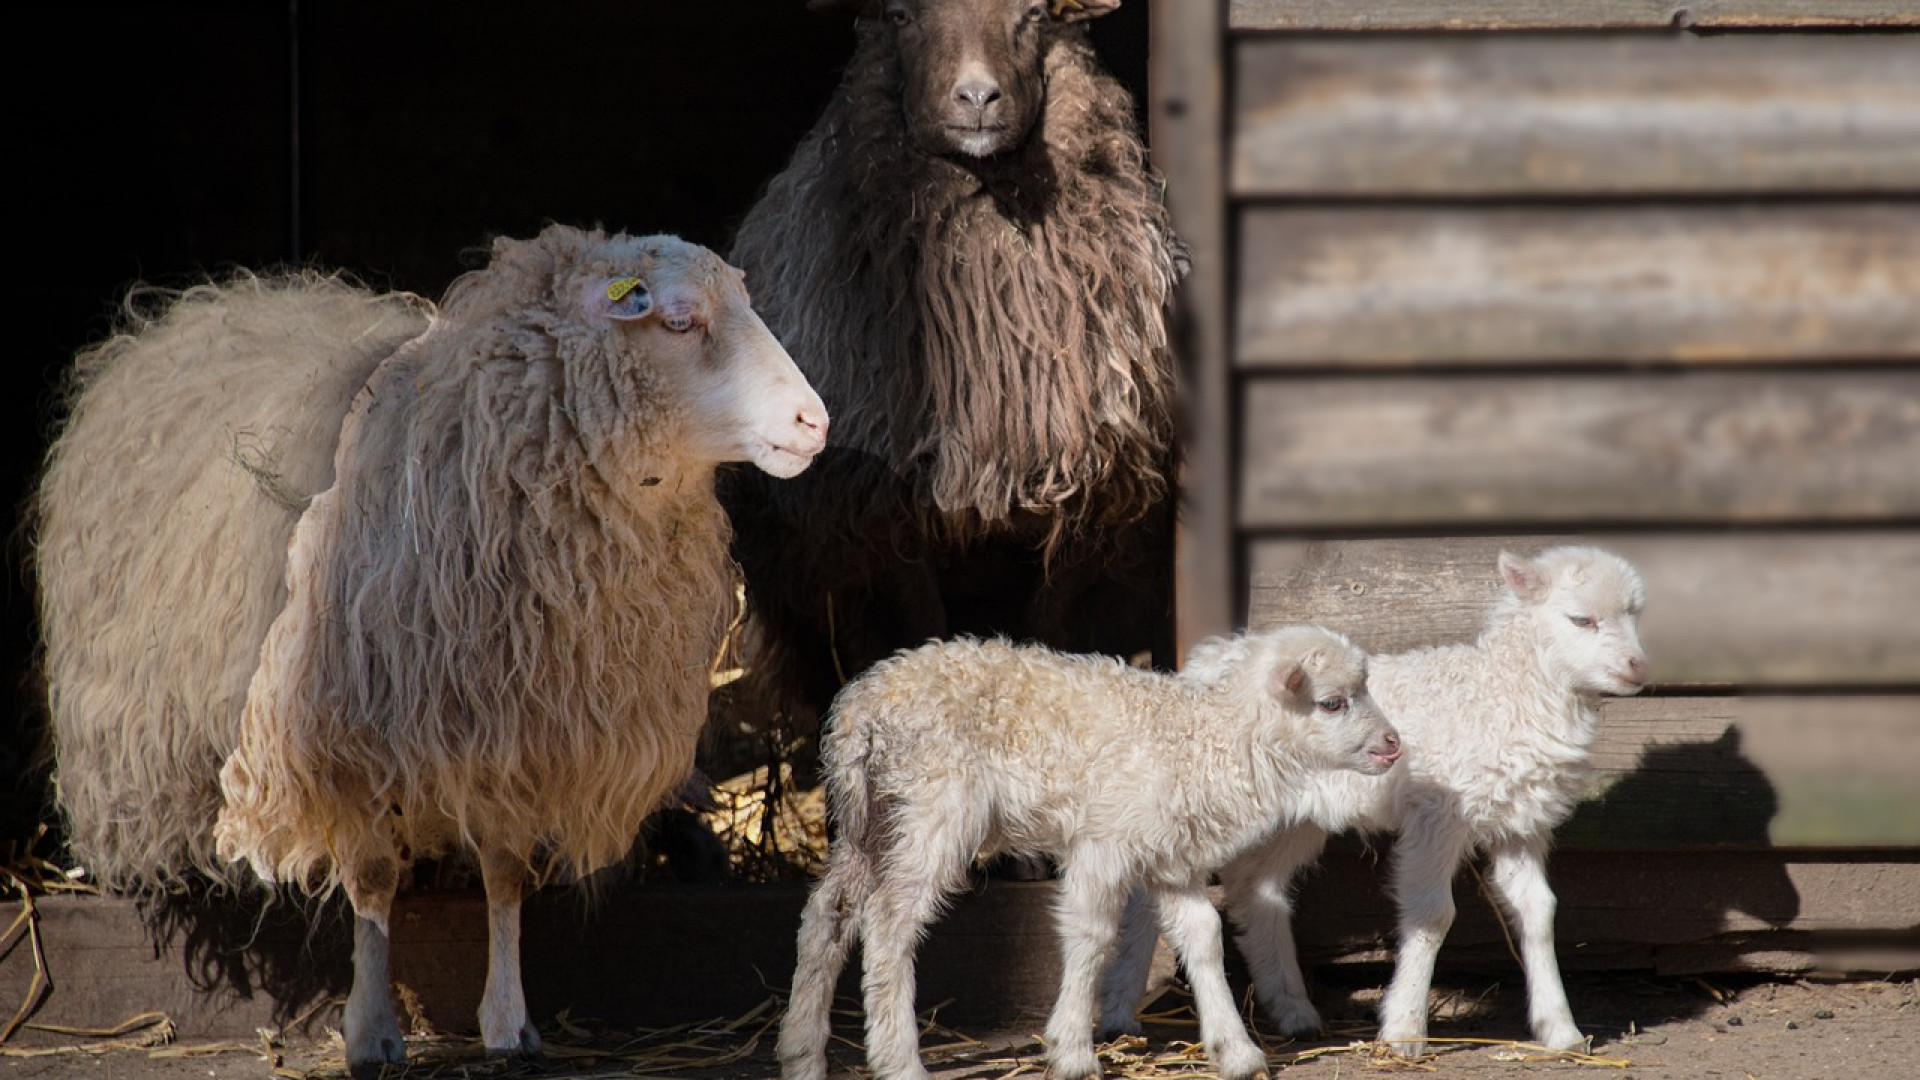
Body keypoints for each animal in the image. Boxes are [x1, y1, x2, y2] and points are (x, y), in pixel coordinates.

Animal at [30, 224, 825, 1068]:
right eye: (679, 322)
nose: (816, 422)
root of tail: (198, 306)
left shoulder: (518, 734)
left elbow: (504, 876)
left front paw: (508, 1021)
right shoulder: (351, 737)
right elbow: (373, 878)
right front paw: (371, 1030)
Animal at [775, 622, 1397, 1076]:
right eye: (1333, 703)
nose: (1393, 745)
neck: (1201, 739)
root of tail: (861, 705)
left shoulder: (1170, 857)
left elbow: (1203, 938)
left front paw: (1236, 1051)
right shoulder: (1104, 842)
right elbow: (1092, 937)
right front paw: (1073, 1049)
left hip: (871, 817)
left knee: (827, 914)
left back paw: (802, 1053)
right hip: (935, 806)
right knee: (889, 922)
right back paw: (898, 1059)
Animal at [1098, 545, 1651, 1053]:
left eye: (1635, 613)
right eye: (1581, 619)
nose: (1637, 668)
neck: (1504, 692)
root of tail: (1205, 660)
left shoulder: (1520, 820)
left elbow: (1539, 911)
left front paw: (1561, 1029)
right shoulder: (1437, 813)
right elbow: (1433, 914)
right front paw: (1404, 1029)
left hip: (1293, 818)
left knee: (1255, 889)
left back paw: (1295, 1012)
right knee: (1152, 895)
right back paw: (1120, 1012)